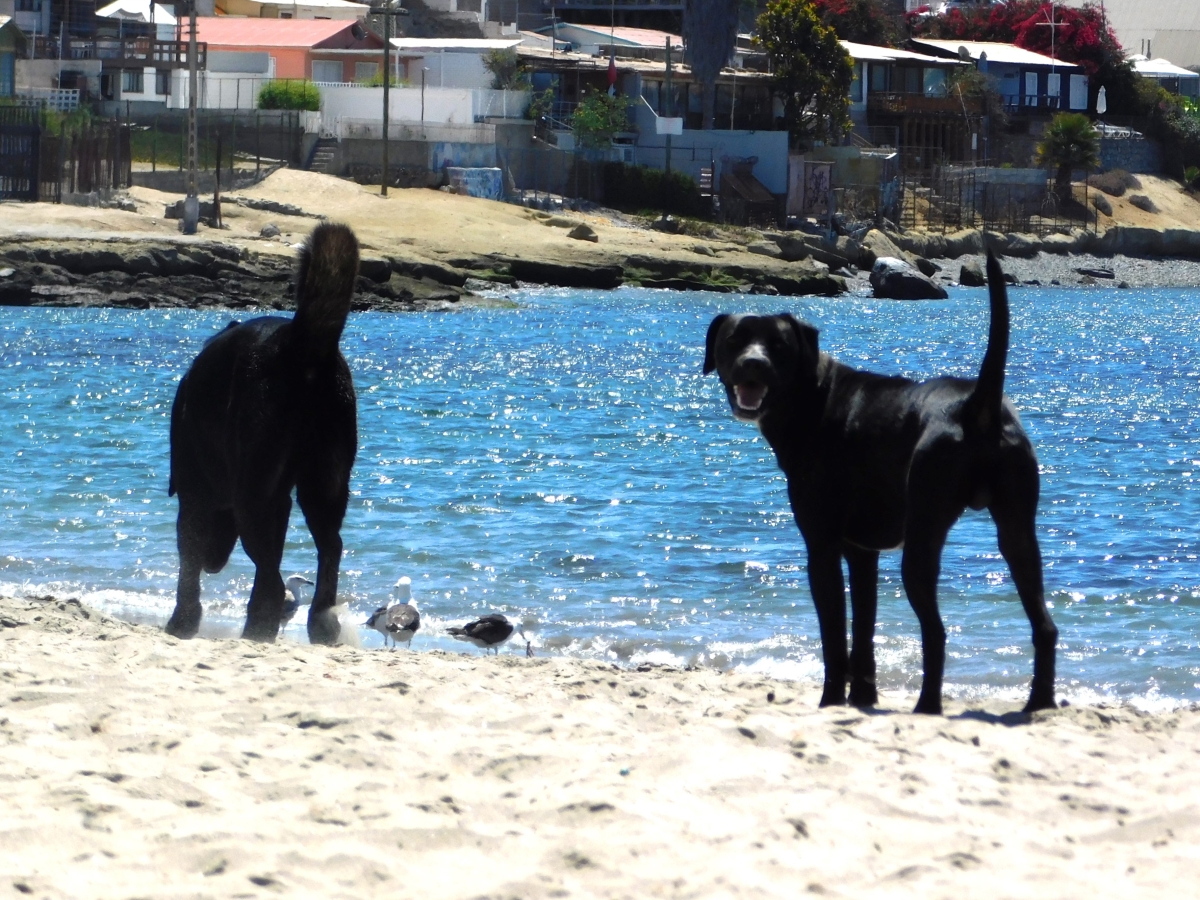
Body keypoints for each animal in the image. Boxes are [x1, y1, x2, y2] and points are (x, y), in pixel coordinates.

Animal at [168, 225, 360, 648]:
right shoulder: (279, 501)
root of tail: (302, 344)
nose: (214, 563)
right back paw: (319, 623)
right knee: (329, 549)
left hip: (252, 497)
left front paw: (182, 621)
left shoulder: (193, 495)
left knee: (272, 583)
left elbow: (187, 564)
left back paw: (257, 629)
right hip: (325, 485)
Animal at [705, 255, 1056, 720]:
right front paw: (863, 698)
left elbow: (835, 637)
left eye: (778, 346)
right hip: (1019, 536)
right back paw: (1040, 703)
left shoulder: (822, 547)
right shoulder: (862, 553)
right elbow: (864, 630)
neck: (812, 395)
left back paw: (928, 706)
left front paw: (832, 700)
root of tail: (976, 404)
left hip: (923, 539)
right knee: (1045, 625)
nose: (753, 364)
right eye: (734, 340)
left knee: (936, 632)